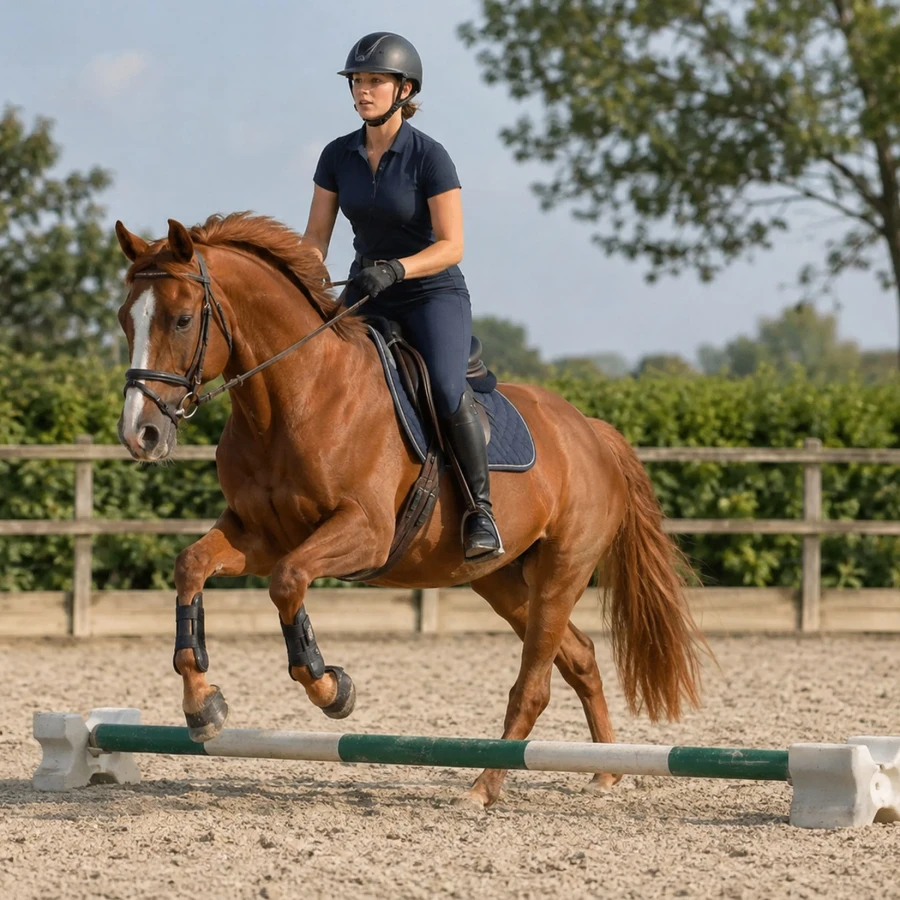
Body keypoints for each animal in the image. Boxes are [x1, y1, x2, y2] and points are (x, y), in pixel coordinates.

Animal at [114, 212, 708, 808]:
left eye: (182, 319)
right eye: (125, 320)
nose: (140, 434)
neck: (294, 399)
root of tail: (591, 430)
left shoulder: (364, 534)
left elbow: (288, 581)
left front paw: (331, 687)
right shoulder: (258, 535)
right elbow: (191, 566)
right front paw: (203, 706)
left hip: (563, 571)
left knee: (534, 684)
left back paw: (484, 787)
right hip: (501, 580)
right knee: (579, 657)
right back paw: (604, 771)